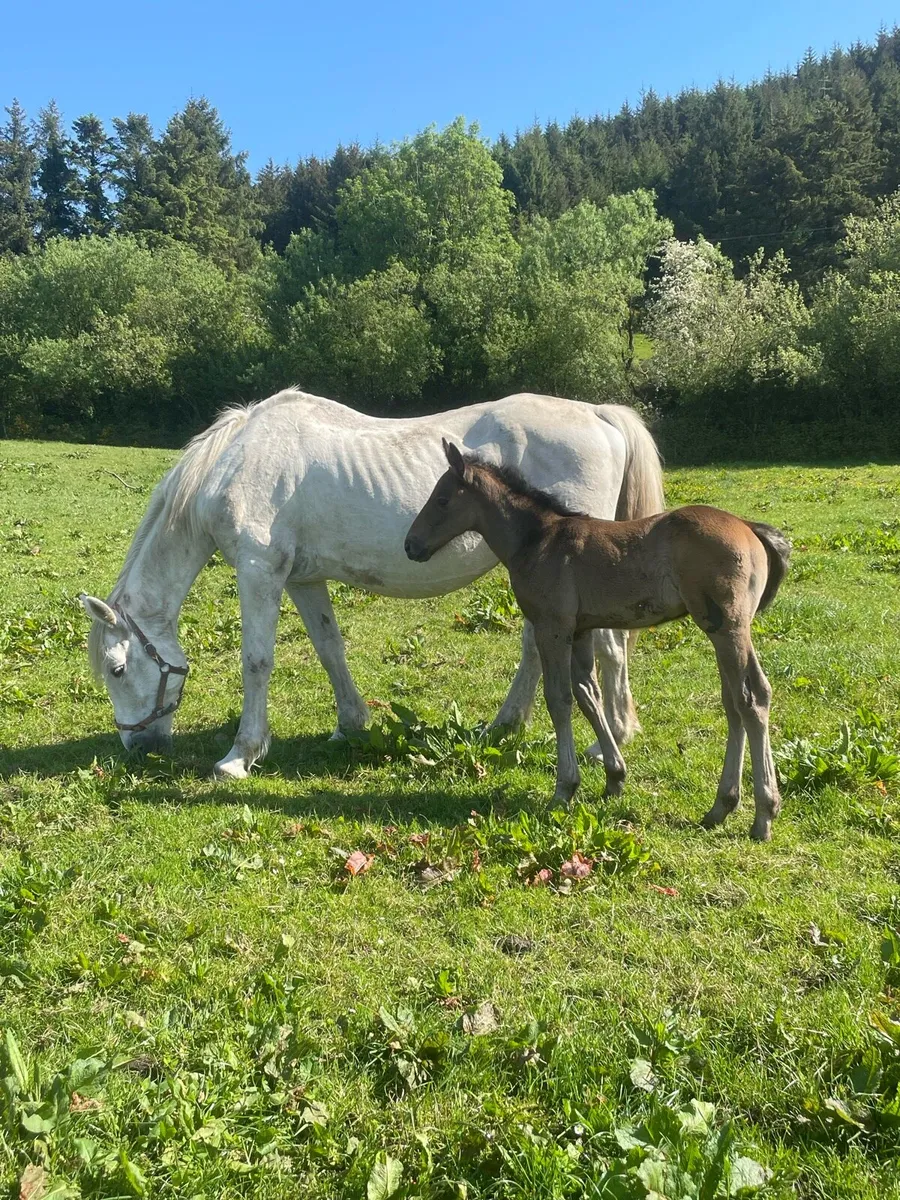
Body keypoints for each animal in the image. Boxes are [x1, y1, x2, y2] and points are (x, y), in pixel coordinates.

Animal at [79, 388, 664, 780]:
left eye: (117, 669)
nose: (138, 747)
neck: (236, 463)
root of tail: (598, 415)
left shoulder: (259, 572)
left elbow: (257, 662)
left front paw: (241, 755)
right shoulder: (303, 579)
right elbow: (328, 647)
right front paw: (351, 724)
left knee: (609, 647)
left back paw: (609, 741)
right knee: (538, 650)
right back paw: (503, 726)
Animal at [405, 440, 790, 841]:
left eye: (443, 499)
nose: (411, 545)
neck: (539, 540)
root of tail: (749, 527)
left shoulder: (552, 627)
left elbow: (559, 700)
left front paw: (564, 789)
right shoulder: (580, 630)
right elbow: (588, 695)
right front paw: (614, 777)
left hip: (729, 629)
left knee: (751, 698)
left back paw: (763, 814)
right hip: (721, 632)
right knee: (735, 702)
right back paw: (721, 807)